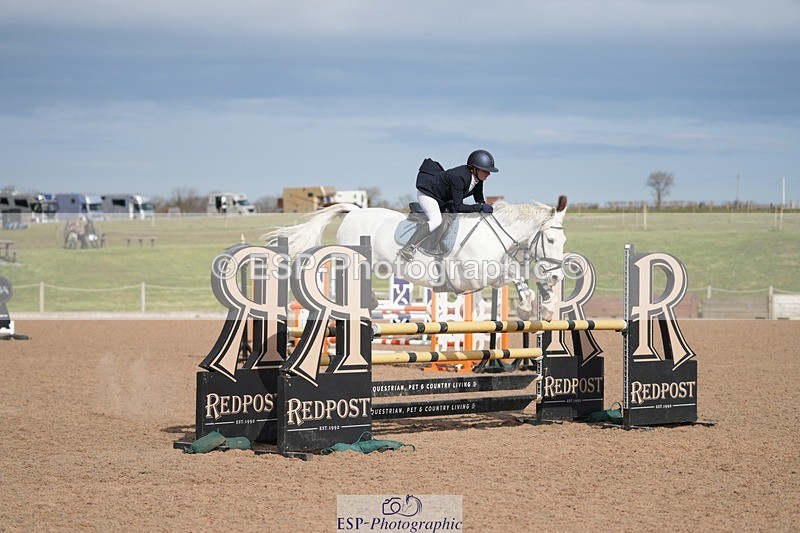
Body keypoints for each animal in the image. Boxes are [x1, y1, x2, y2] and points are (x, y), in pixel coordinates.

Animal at [263, 196, 568, 320]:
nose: (556, 276)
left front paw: (545, 306)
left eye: (564, 242)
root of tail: (355, 211)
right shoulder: (475, 275)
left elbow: (522, 275)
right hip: (356, 260)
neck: (496, 234)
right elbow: (513, 275)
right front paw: (528, 307)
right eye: (552, 240)